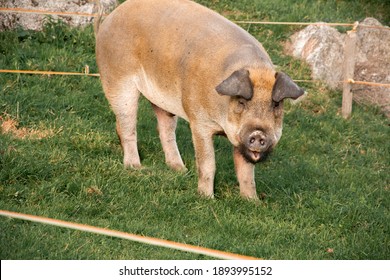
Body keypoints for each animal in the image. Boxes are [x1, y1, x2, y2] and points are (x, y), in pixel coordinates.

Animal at [95, 0, 304, 201]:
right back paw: (135, 166)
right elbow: (207, 163)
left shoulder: (241, 141)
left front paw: (253, 202)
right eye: (242, 102)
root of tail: (110, 17)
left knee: (164, 129)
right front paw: (207, 198)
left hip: (162, 100)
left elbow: (246, 172)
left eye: (276, 104)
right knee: (127, 124)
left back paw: (180, 169)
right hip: (118, 80)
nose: (259, 133)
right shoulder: (199, 123)